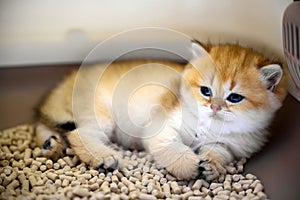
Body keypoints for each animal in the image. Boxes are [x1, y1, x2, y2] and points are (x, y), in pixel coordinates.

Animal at [35, 39, 286, 180]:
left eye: (234, 97)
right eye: (205, 91)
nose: (214, 106)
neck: (211, 127)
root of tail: (68, 81)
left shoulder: (229, 146)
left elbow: (219, 154)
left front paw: (211, 167)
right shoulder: (162, 126)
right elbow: (173, 149)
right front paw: (191, 166)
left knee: (47, 125)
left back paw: (51, 145)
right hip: (100, 114)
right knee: (78, 134)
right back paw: (105, 157)